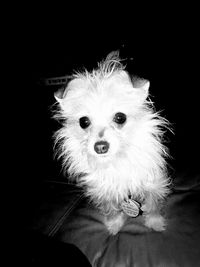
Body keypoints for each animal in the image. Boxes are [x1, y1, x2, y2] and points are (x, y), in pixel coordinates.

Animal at [53, 51, 172, 236]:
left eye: (120, 117)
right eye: (83, 122)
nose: (100, 147)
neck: (116, 161)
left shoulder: (154, 184)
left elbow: (153, 205)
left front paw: (155, 223)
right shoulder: (104, 190)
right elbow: (111, 209)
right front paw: (114, 225)